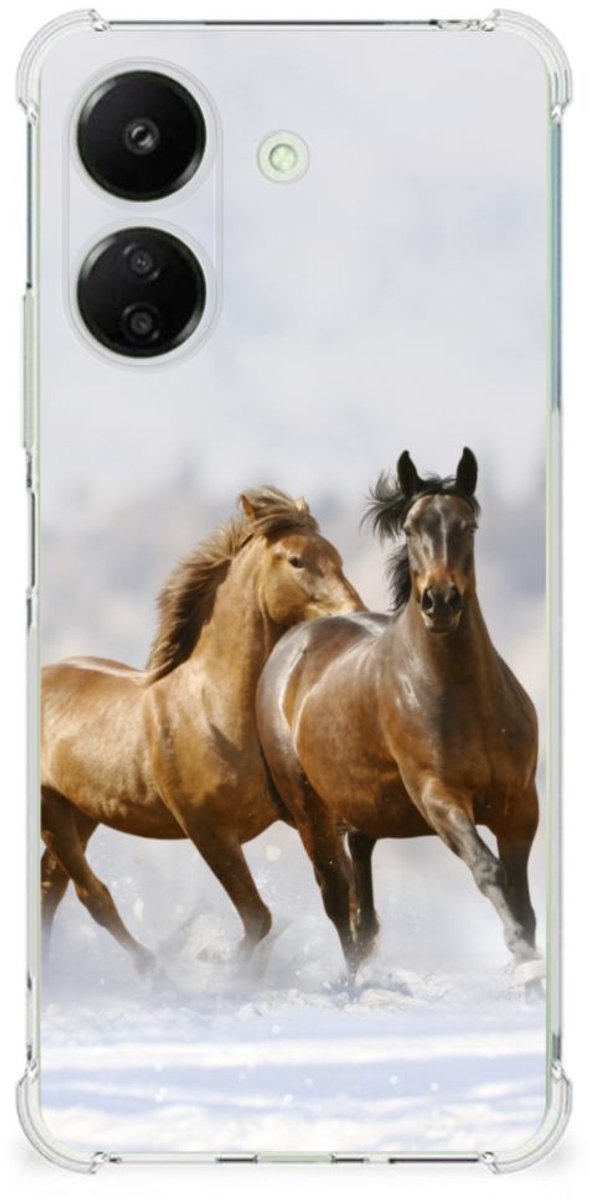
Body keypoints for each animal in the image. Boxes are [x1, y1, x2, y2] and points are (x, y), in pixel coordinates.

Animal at [40, 487, 364, 973]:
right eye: (296, 560)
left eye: (337, 556)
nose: (355, 614)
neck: (214, 709)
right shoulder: (208, 831)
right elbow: (258, 918)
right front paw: (225, 970)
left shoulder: (306, 816)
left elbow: (340, 894)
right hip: (53, 811)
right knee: (89, 894)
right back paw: (153, 969)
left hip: (81, 811)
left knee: (53, 886)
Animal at [256, 450, 541, 979]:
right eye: (410, 529)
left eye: (468, 526)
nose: (440, 602)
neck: (466, 698)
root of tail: (291, 644)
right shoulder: (439, 797)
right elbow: (488, 869)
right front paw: (521, 953)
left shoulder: (520, 806)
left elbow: (521, 896)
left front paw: (528, 956)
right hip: (310, 812)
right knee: (336, 898)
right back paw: (353, 980)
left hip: (361, 808)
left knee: (362, 899)